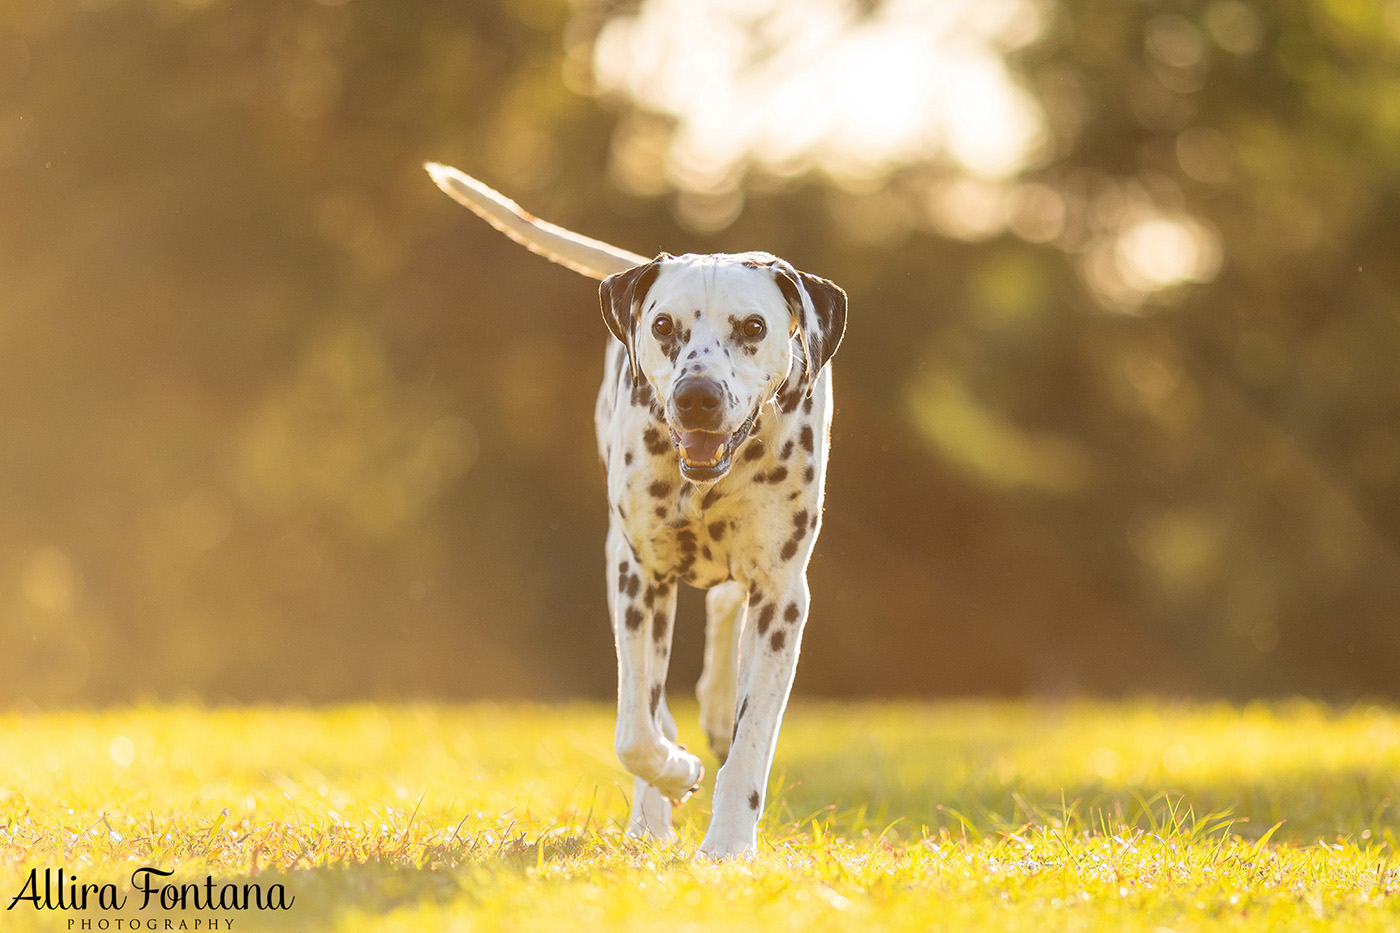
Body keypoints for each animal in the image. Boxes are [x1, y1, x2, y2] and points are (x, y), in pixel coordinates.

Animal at [425, 161, 845, 857]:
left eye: (753, 327)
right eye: (663, 325)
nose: (697, 396)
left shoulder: (784, 595)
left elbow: (753, 739)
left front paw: (729, 845)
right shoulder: (639, 577)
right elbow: (635, 732)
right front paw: (674, 774)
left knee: (727, 615)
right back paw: (655, 812)